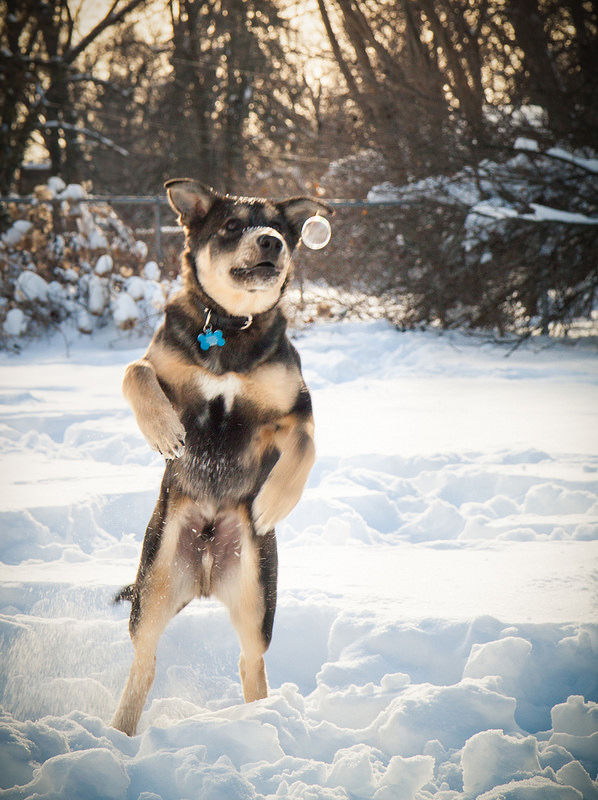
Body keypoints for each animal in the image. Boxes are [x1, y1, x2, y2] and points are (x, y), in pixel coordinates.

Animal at [112, 178, 332, 736]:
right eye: (232, 226)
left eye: (279, 228)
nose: (271, 241)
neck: (230, 326)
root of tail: (207, 570)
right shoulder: (159, 366)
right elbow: (135, 372)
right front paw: (165, 430)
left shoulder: (296, 410)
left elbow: (306, 445)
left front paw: (273, 501)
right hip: (154, 584)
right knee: (143, 662)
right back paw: (116, 733)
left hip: (257, 598)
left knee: (250, 662)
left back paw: (261, 722)